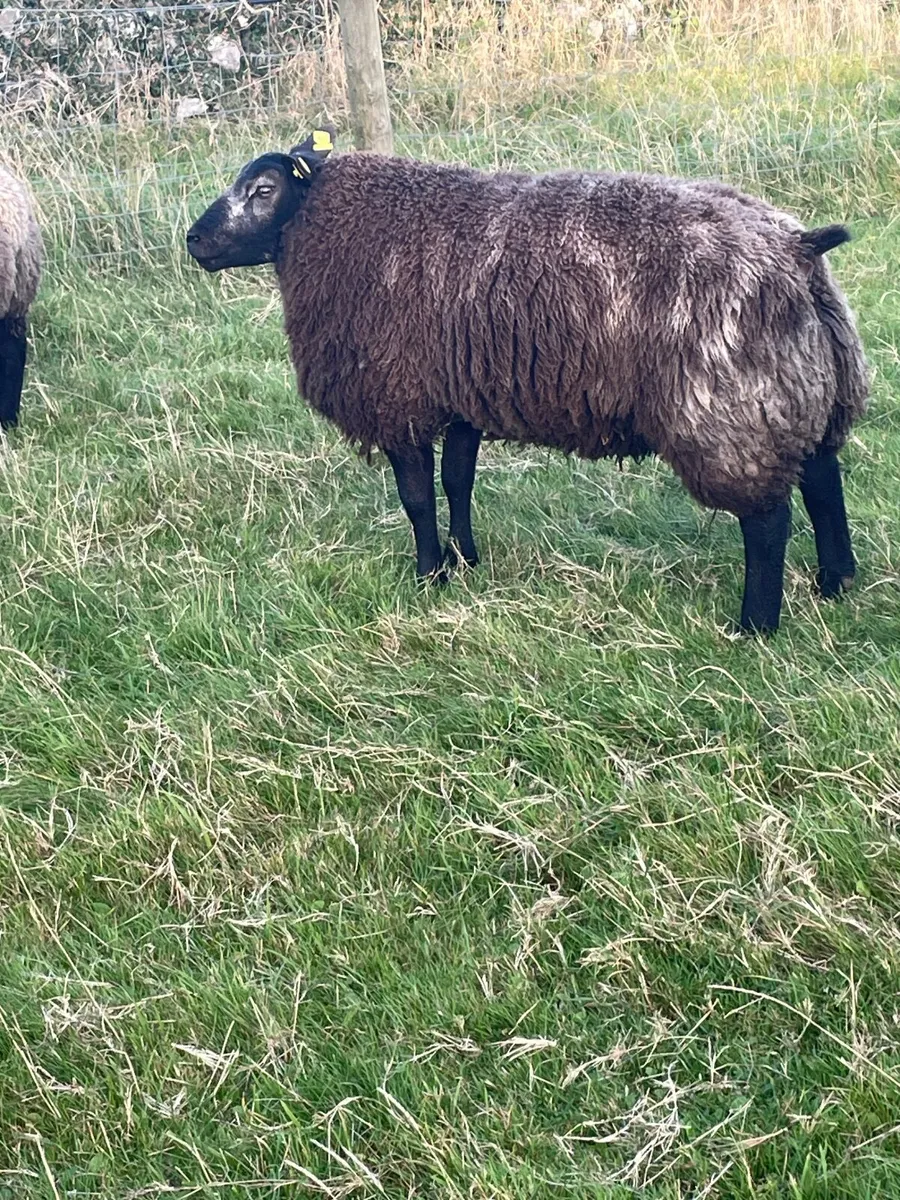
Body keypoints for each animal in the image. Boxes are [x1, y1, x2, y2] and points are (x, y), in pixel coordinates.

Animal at [186, 131, 869, 635]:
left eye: (263, 189)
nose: (193, 240)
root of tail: (797, 245)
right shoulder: (460, 394)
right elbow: (457, 481)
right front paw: (465, 561)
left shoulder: (399, 395)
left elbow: (417, 497)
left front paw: (428, 575)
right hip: (797, 383)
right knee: (821, 478)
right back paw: (836, 581)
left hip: (728, 405)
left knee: (768, 519)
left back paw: (755, 626)